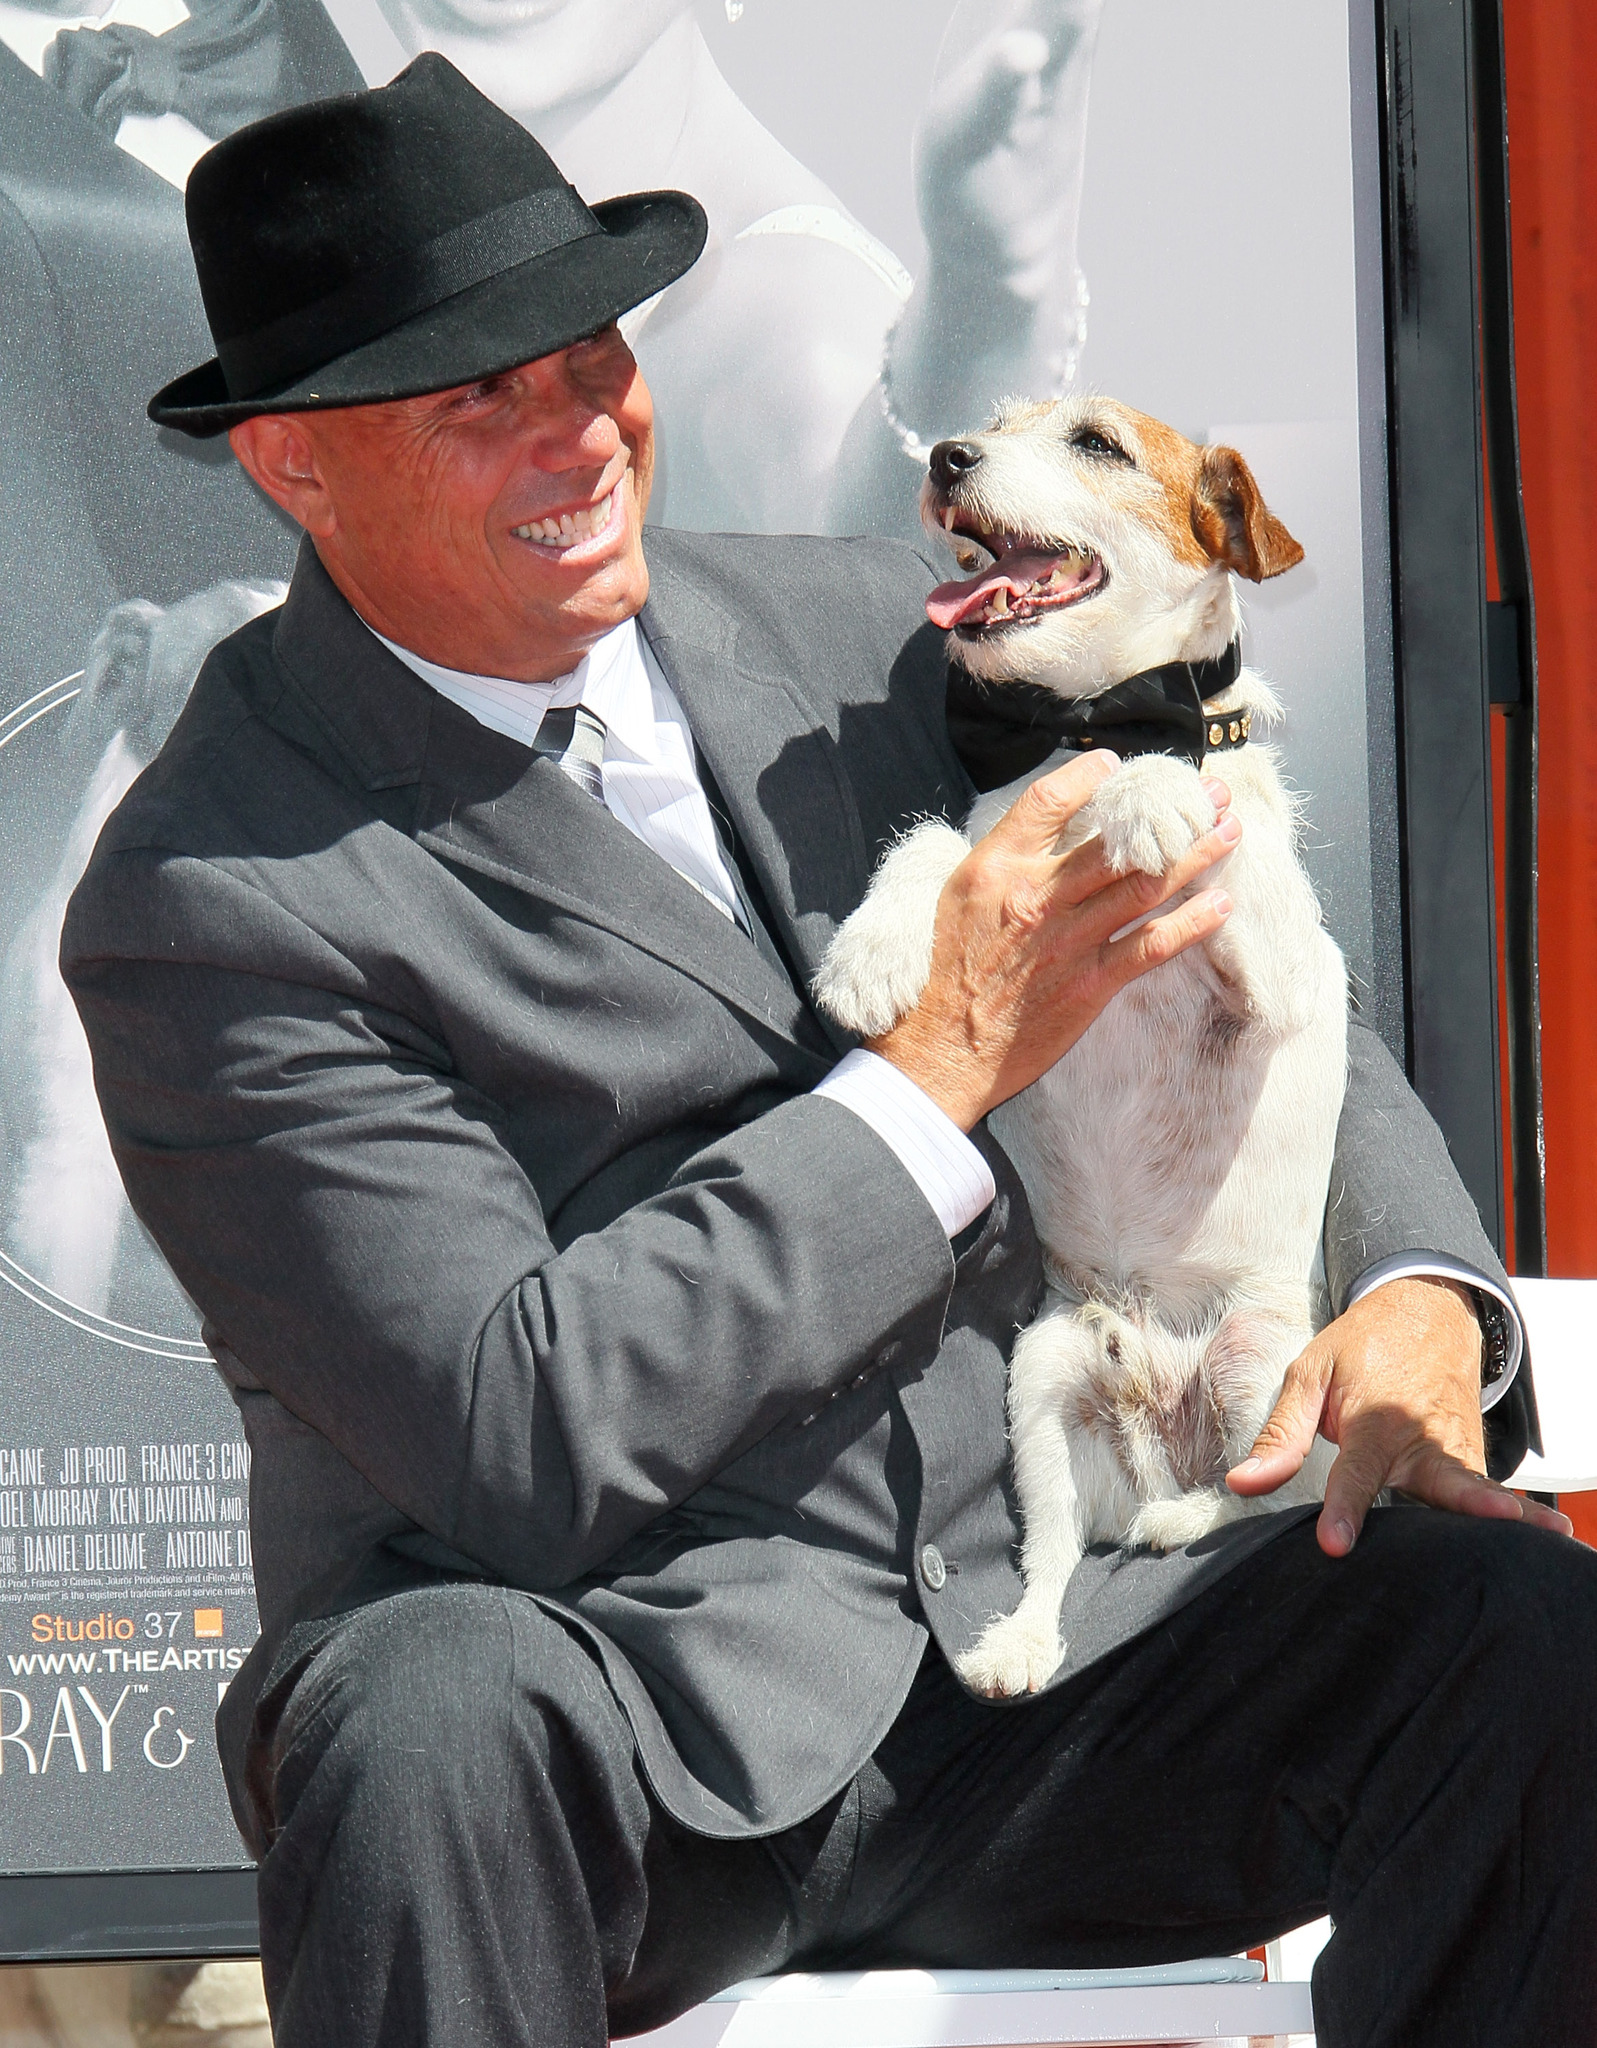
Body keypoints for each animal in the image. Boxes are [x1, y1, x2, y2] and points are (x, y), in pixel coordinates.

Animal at [818, 395, 1351, 1695]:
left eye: (1096, 442)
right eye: (991, 423)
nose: (945, 453)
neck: (1078, 730)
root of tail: (1158, 1419)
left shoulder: (1279, 969)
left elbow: (1194, 797)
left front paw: (1150, 792)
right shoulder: (982, 854)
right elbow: (928, 846)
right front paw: (871, 951)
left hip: (1261, 1360)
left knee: (1270, 1486)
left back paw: (1179, 1516)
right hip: (1041, 1388)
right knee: (1057, 1555)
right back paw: (1019, 1637)